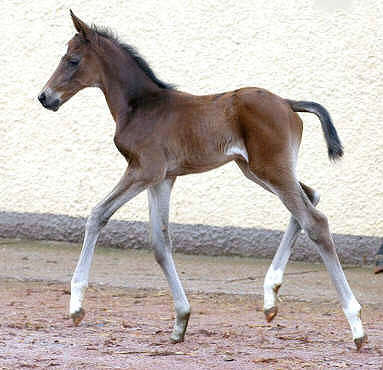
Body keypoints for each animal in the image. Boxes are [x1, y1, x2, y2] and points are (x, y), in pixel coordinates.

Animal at [37, 11, 368, 350]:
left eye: (73, 60)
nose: (45, 97)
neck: (141, 106)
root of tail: (288, 102)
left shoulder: (144, 170)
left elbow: (97, 215)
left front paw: (76, 307)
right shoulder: (163, 178)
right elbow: (160, 243)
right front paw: (181, 320)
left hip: (271, 169)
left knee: (315, 221)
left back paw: (355, 325)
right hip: (256, 170)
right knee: (310, 197)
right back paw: (270, 297)